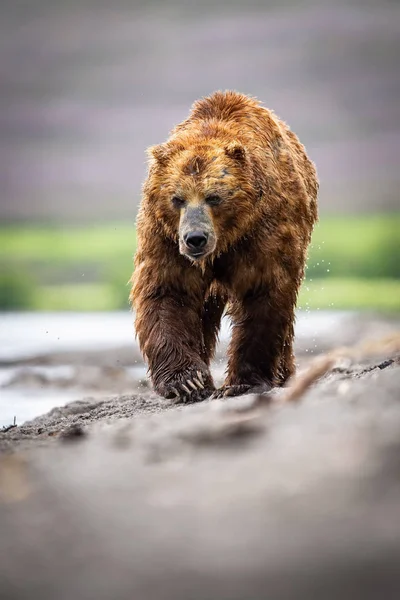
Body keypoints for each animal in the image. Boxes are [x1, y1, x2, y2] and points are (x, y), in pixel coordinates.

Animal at [131, 91, 318, 400]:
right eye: (177, 198)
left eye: (214, 197)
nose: (195, 238)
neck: (226, 238)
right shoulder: (165, 236)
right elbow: (167, 290)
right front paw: (187, 381)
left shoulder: (263, 231)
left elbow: (262, 292)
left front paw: (243, 382)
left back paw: (283, 374)